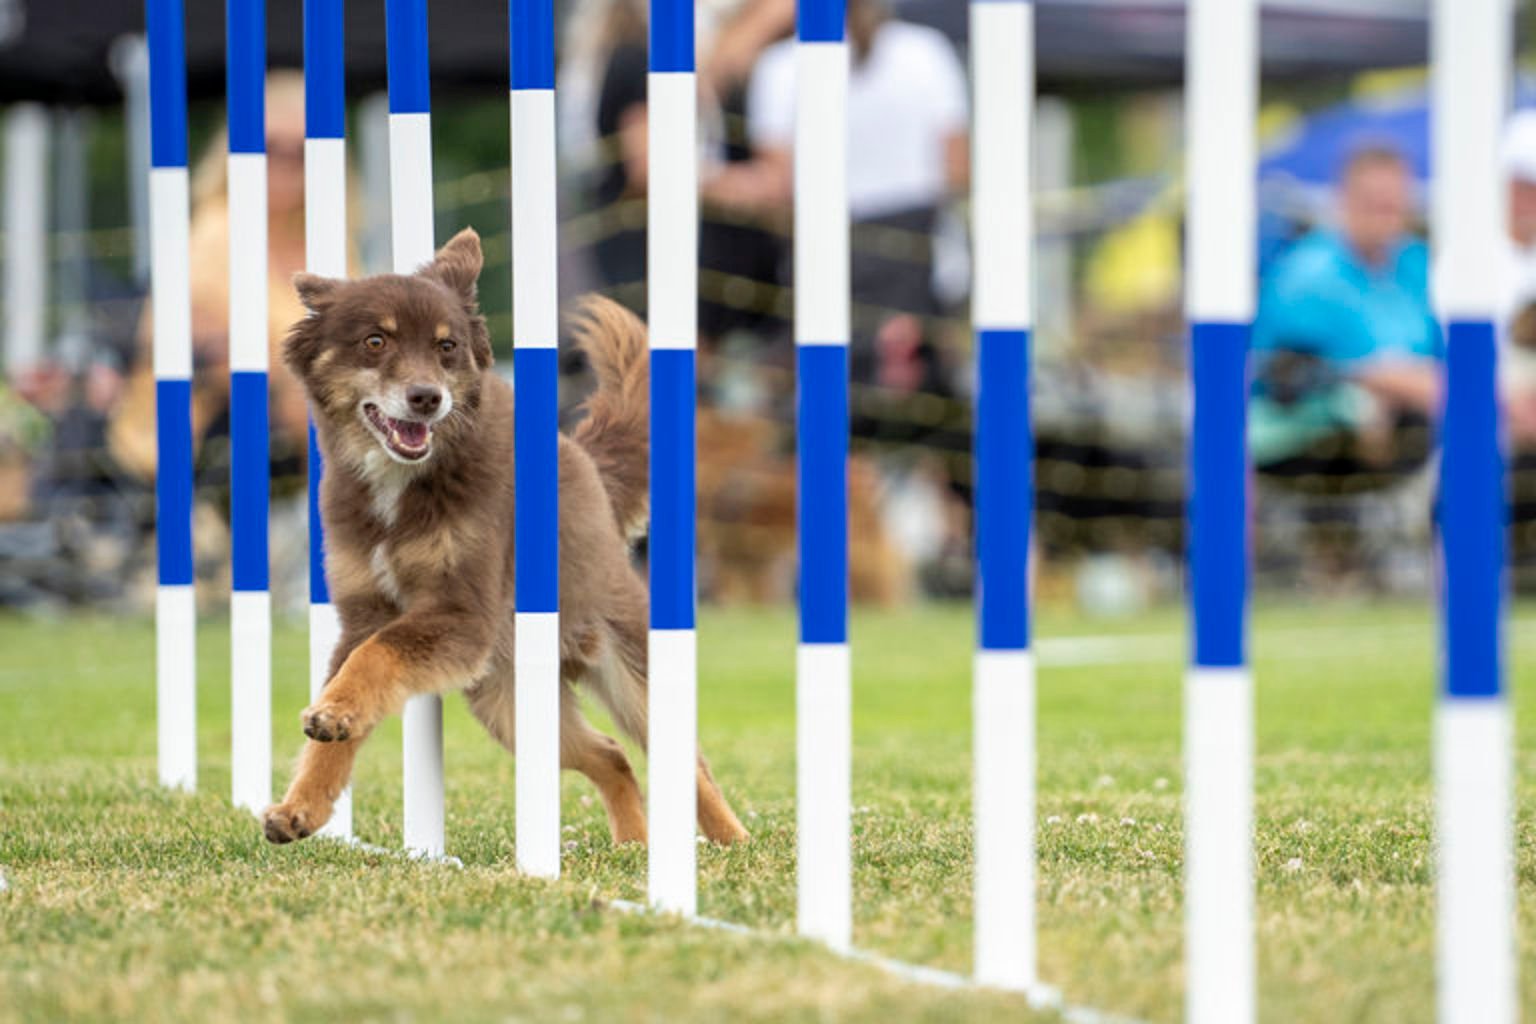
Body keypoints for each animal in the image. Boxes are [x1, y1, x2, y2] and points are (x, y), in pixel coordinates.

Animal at [262, 230, 749, 847]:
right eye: (375, 341)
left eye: (446, 347)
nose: (427, 398)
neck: (403, 481)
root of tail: (587, 463)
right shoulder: (365, 614)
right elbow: (351, 685)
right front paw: (301, 805)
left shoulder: (461, 614)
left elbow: (378, 656)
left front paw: (331, 717)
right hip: (511, 702)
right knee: (610, 754)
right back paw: (632, 843)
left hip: (625, 668)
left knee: (685, 762)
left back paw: (732, 840)